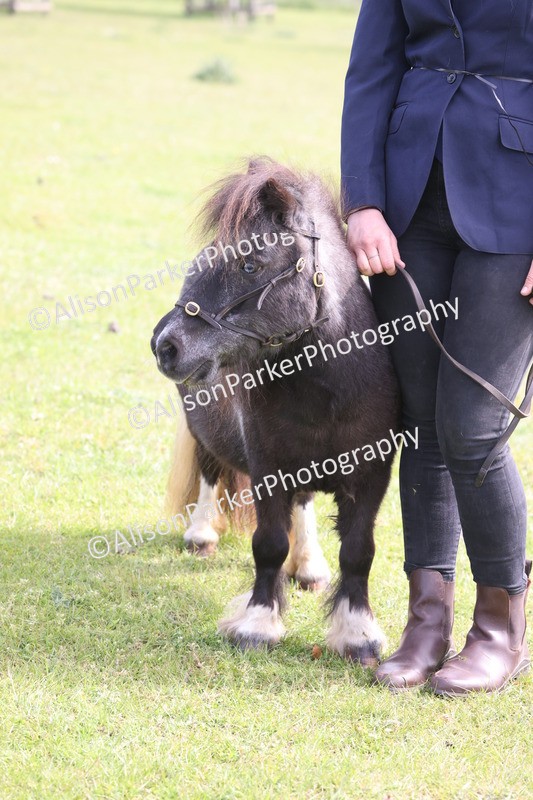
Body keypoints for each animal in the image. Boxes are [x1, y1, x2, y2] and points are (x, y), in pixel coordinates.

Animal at [151, 157, 400, 666]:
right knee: (210, 473)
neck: (329, 390)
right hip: (204, 431)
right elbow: (268, 545)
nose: (164, 345)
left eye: (249, 263)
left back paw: (308, 566)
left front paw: (357, 634)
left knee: (302, 505)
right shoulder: (269, 469)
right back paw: (201, 535)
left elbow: (358, 551)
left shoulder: (372, 476)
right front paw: (257, 625)